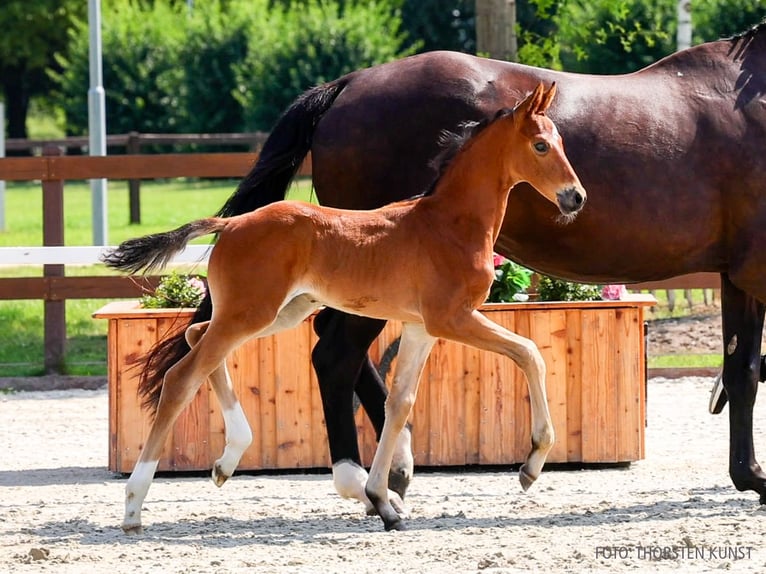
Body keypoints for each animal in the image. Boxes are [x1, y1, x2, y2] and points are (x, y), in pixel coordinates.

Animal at [104, 84, 586, 532]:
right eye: (540, 145)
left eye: (562, 141)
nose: (575, 197)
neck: (448, 224)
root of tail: (232, 223)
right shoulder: (453, 318)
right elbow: (529, 352)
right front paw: (531, 464)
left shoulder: (420, 327)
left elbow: (400, 403)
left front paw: (383, 501)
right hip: (251, 313)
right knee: (181, 376)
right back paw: (133, 506)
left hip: (277, 312)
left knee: (195, 337)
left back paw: (227, 460)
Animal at [137, 22, 766, 509]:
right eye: (542, 145)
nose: (575, 197)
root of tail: (347, 85)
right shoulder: (756, 269)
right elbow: (748, 371)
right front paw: (755, 479)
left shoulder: (736, 275)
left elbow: (741, 369)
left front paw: (747, 475)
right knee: (330, 353)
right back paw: (362, 477)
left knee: (296, 348)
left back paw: (385, 472)